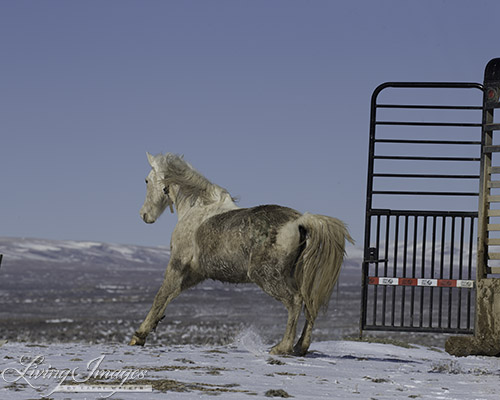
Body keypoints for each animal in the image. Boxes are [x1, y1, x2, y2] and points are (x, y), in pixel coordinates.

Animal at [130, 153, 356, 356]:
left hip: (266, 276)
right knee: (309, 303)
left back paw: (282, 347)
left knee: (295, 301)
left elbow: (160, 296)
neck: (197, 209)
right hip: (297, 275)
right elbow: (170, 296)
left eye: (146, 180)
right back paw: (301, 347)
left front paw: (138, 336)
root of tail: (301, 220)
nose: (144, 215)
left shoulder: (177, 264)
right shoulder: (195, 274)